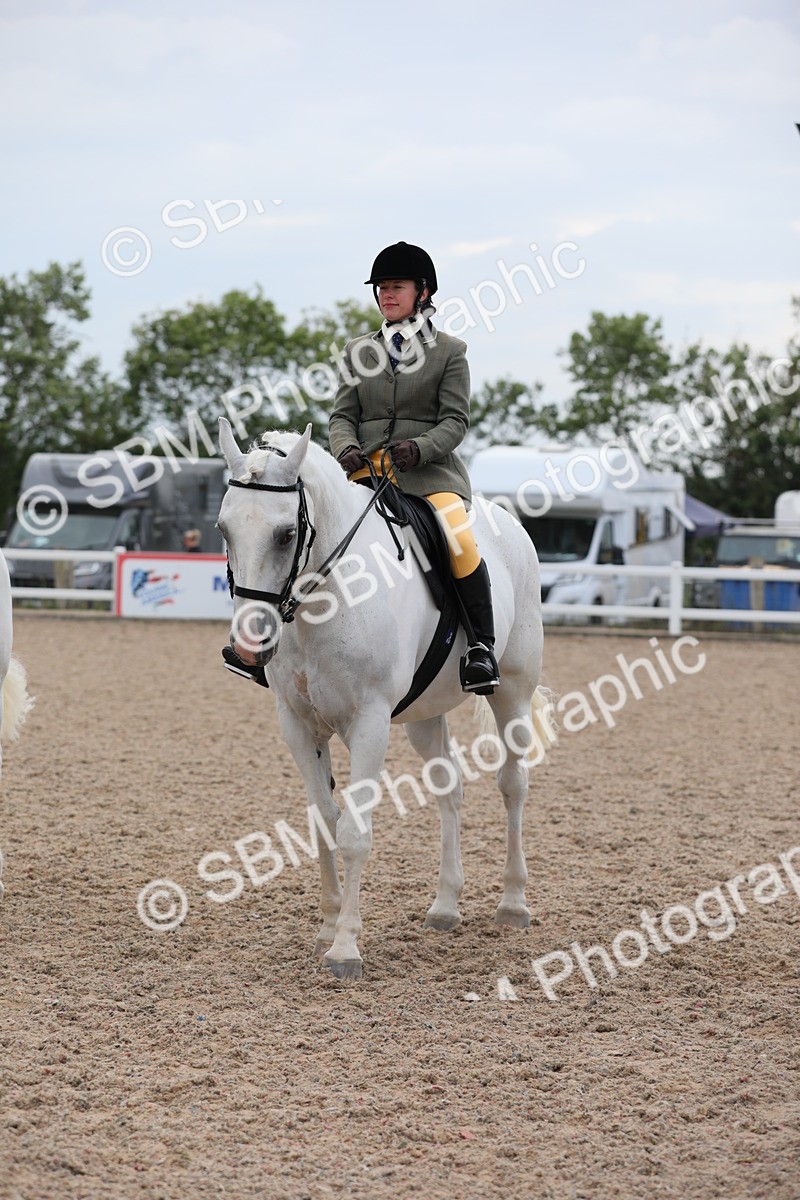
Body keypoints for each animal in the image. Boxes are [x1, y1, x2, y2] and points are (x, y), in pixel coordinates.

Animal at [217, 419, 553, 979]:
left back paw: (512, 903)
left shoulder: (369, 723)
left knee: (513, 786)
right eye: (224, 529)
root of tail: (510, 523)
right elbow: (324, 821)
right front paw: (328, 927)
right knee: (449, 790)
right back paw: (445, 906)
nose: (247, 646)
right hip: (424, 716)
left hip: (512, 692)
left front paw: (345, 948)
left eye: (285, 534)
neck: (327, 598)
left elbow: (355, 831)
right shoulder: (298, 724)